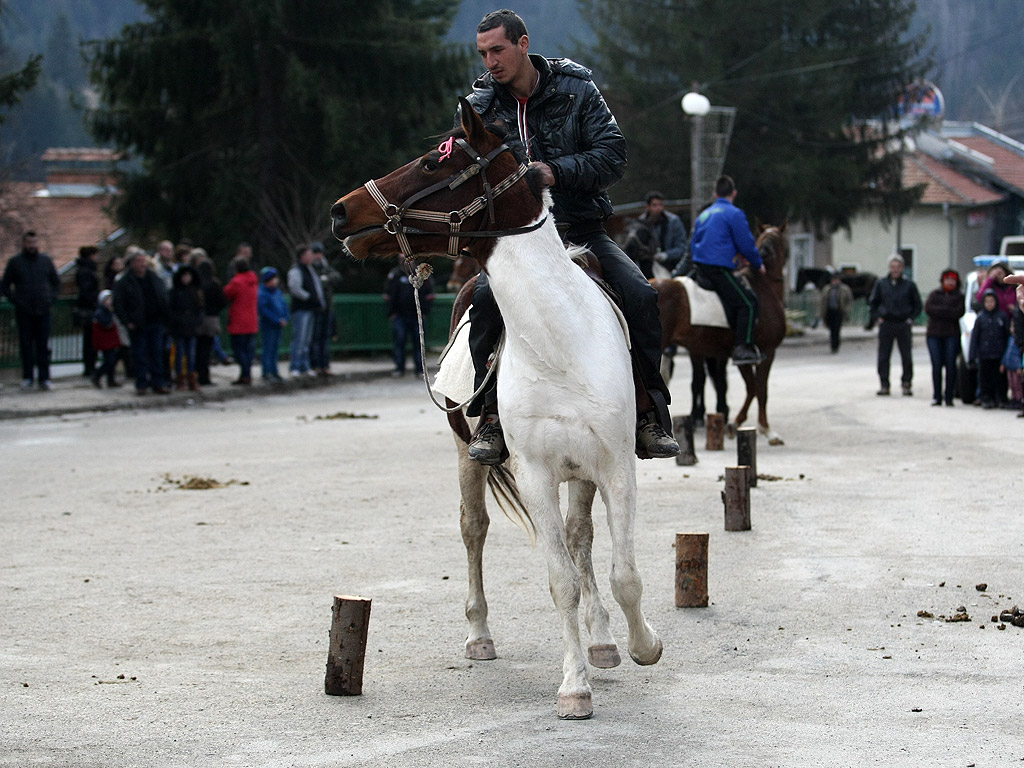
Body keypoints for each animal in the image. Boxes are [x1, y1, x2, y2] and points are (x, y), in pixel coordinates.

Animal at [331, 97, 659, 720]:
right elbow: (560, 581)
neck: (559, 342)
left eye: (434, 162)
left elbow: (624, 573)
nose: (340, 212)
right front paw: (573, 688)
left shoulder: (614, 467)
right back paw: (480, 635)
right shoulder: (535, 473)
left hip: (581, 475)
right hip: (468, 456)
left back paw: (604, 640)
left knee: (581, 538)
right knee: (474, 528)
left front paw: (641, 646)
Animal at [651, 222, 786, 444]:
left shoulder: (736, 355)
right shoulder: (766, 352)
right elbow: (760, 389)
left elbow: (750, 387)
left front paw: (735, 423)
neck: (763, 287)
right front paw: (766, 430)